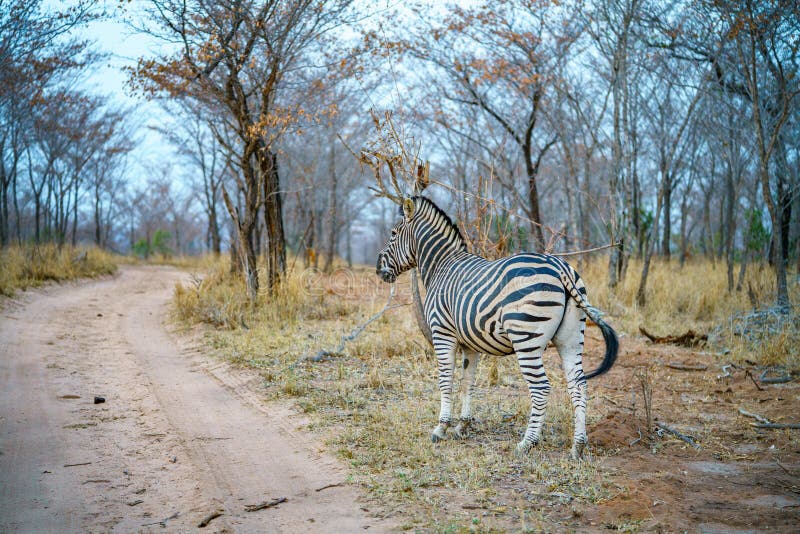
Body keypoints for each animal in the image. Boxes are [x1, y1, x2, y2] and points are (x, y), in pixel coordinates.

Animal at [376, 197, 620, 460]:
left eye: (393, 234)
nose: (378, 268)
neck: (442, 266)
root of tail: (559, 266)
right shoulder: (469, 343)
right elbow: (467, 382)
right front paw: (463, 426)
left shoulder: (443, 333)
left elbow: (445, 380)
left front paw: (441, 428)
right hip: (571, 338)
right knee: (579, 385)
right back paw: (577, 446)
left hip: (527, 339)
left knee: (541, 388)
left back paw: (527, 443)